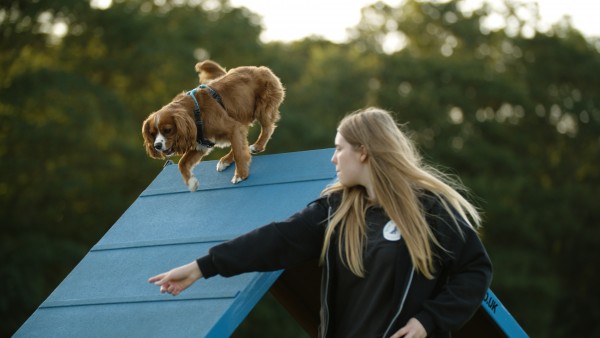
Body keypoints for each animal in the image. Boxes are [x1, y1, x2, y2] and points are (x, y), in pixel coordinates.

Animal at [144, 61, 288, 191]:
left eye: (167, 130)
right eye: (152, 133)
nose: (157, 146)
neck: (194, 112)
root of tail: (260, 68)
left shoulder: (233, 128)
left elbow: (239, 153)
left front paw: (240, 175)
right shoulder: (202, 144)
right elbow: (182, 163)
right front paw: (191, 183)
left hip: (262, 108)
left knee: (267, 128)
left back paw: (257, 146)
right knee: (243, 143)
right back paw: (225, 161)